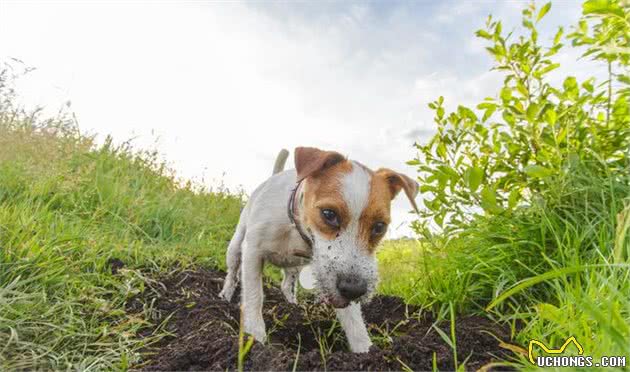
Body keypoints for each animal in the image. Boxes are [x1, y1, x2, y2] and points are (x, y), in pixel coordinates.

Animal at [220, 147, 422, 354]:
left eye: (379, 227)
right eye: (329, 214)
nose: (354, 289)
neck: (295, 226)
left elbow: (353, 320)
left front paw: (365, 349)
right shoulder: (253, 251)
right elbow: (254, 295)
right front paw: (254, 336)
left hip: (295, 267)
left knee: (287, 285)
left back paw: (292, 304)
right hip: (235, 247)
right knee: (233, 274)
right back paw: (225, 296)